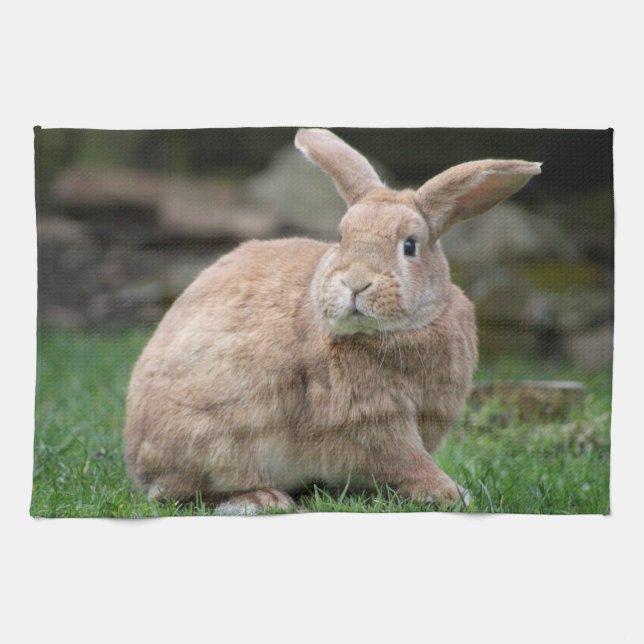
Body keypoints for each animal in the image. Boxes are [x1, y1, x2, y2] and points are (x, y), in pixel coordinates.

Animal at [124, 128, 541, 514]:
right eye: (341, 238)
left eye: (409, 246)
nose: (355, 282)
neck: (396, 332)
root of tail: (137, 458)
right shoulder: (374, 420)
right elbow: (407, 460)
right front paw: (450, 493)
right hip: (216, 445)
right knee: (179, 493)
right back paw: (261, 498)